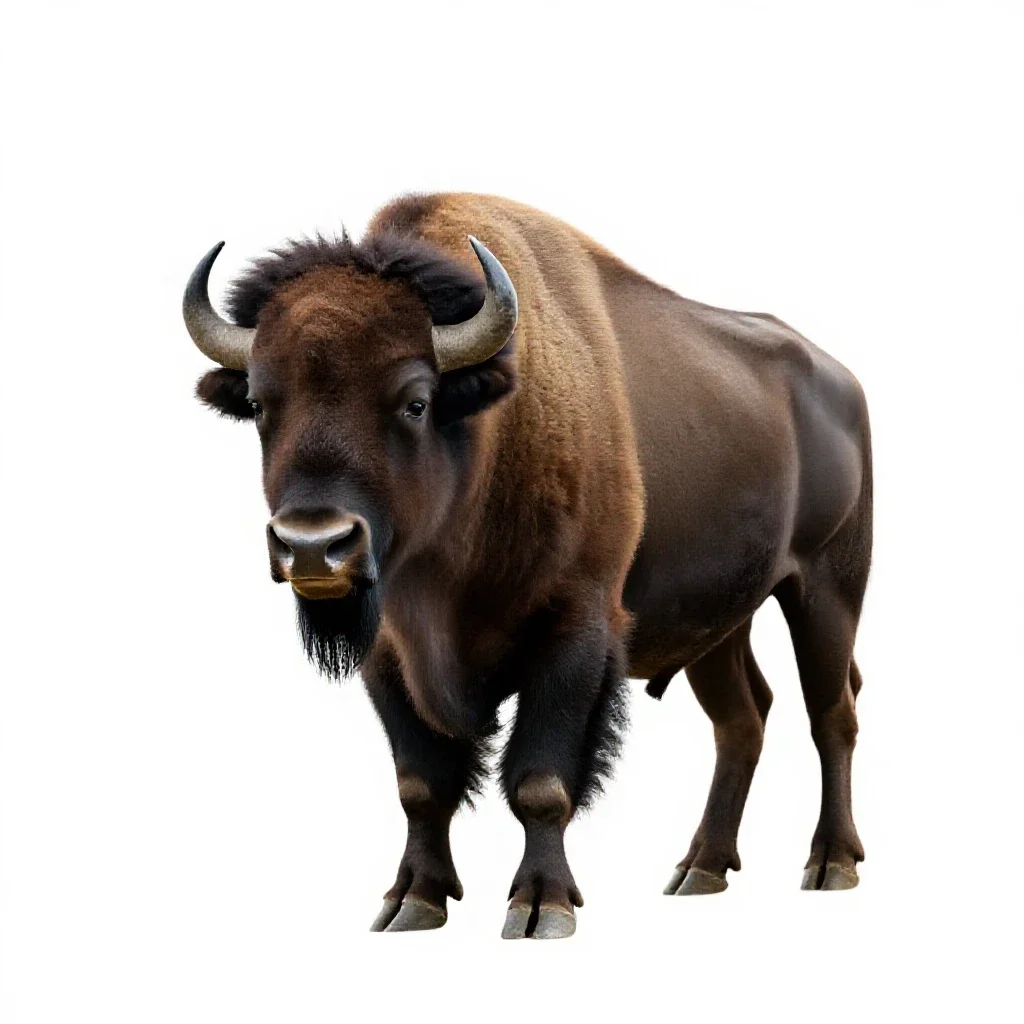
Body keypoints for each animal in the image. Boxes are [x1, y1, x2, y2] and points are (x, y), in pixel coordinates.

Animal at [183, 192, 872, 938]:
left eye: (415, 401)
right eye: (259, 404)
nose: (313, 545)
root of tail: (843, 381)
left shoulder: (574, 633)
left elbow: (540, 782)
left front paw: (540, 907)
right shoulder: (388, 654)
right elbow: (420, 784)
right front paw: (412, 902)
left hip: (826, 591)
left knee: (831, 714)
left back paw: (831, 864)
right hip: (720, 627)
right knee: (743, 720)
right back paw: (699, 871)